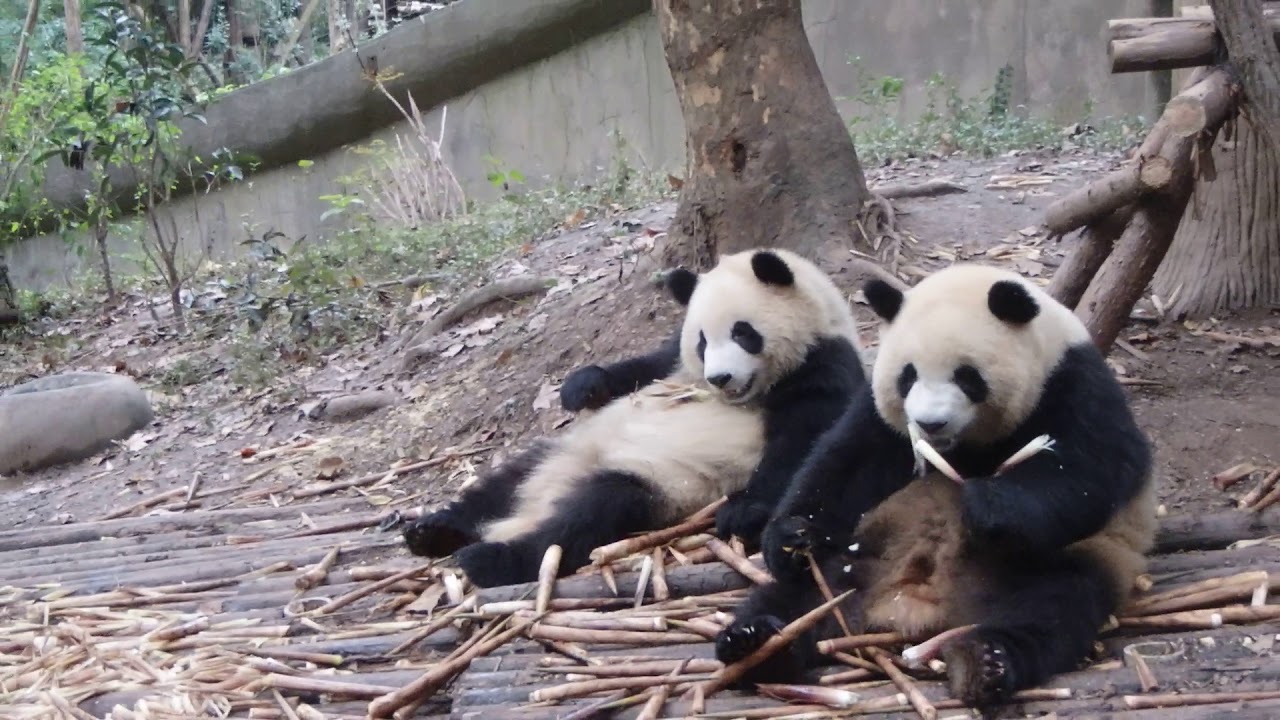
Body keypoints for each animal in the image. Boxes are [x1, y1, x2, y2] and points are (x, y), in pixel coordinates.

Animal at [401, 248, 870, 588]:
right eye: (702, 342)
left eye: (743, 333)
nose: (719, 378)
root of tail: (529, 510)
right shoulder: (672, 363)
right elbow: (642, 368)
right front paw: (583, 386)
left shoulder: (824, 366)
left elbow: (801, 443)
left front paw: (743, 511)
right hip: (561, 452)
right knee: (503, 483)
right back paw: (434, 530)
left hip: (663, 484)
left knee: (590, 516)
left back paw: (490, 558)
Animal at [714, 263, 1157, 709]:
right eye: (907, 376)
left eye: (967, 377)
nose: (930, 423)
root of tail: (915, 609)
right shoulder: (880, 416)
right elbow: (845, 462)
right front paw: (791, 536)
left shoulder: (1073, 384)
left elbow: (1090, 471)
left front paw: (985, 505)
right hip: (856, 559)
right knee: (796, 597)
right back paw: (754, 644)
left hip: (1059, 564)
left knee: (1050, 607)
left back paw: (984, 662)